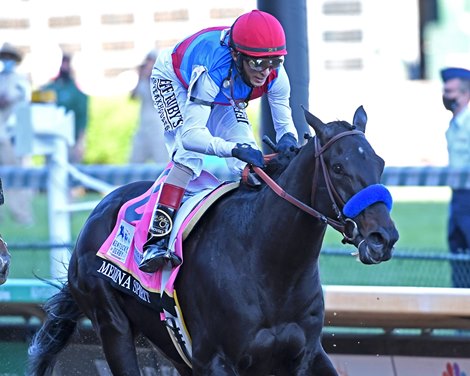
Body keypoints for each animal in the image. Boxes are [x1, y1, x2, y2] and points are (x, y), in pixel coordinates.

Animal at [27, 106, 398, 376]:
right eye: (338, 167)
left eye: (379, 162)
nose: (384, 238)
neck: (268, 267)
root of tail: (97, 211)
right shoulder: (215, 360)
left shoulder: (306, 354)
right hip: (112, 324)